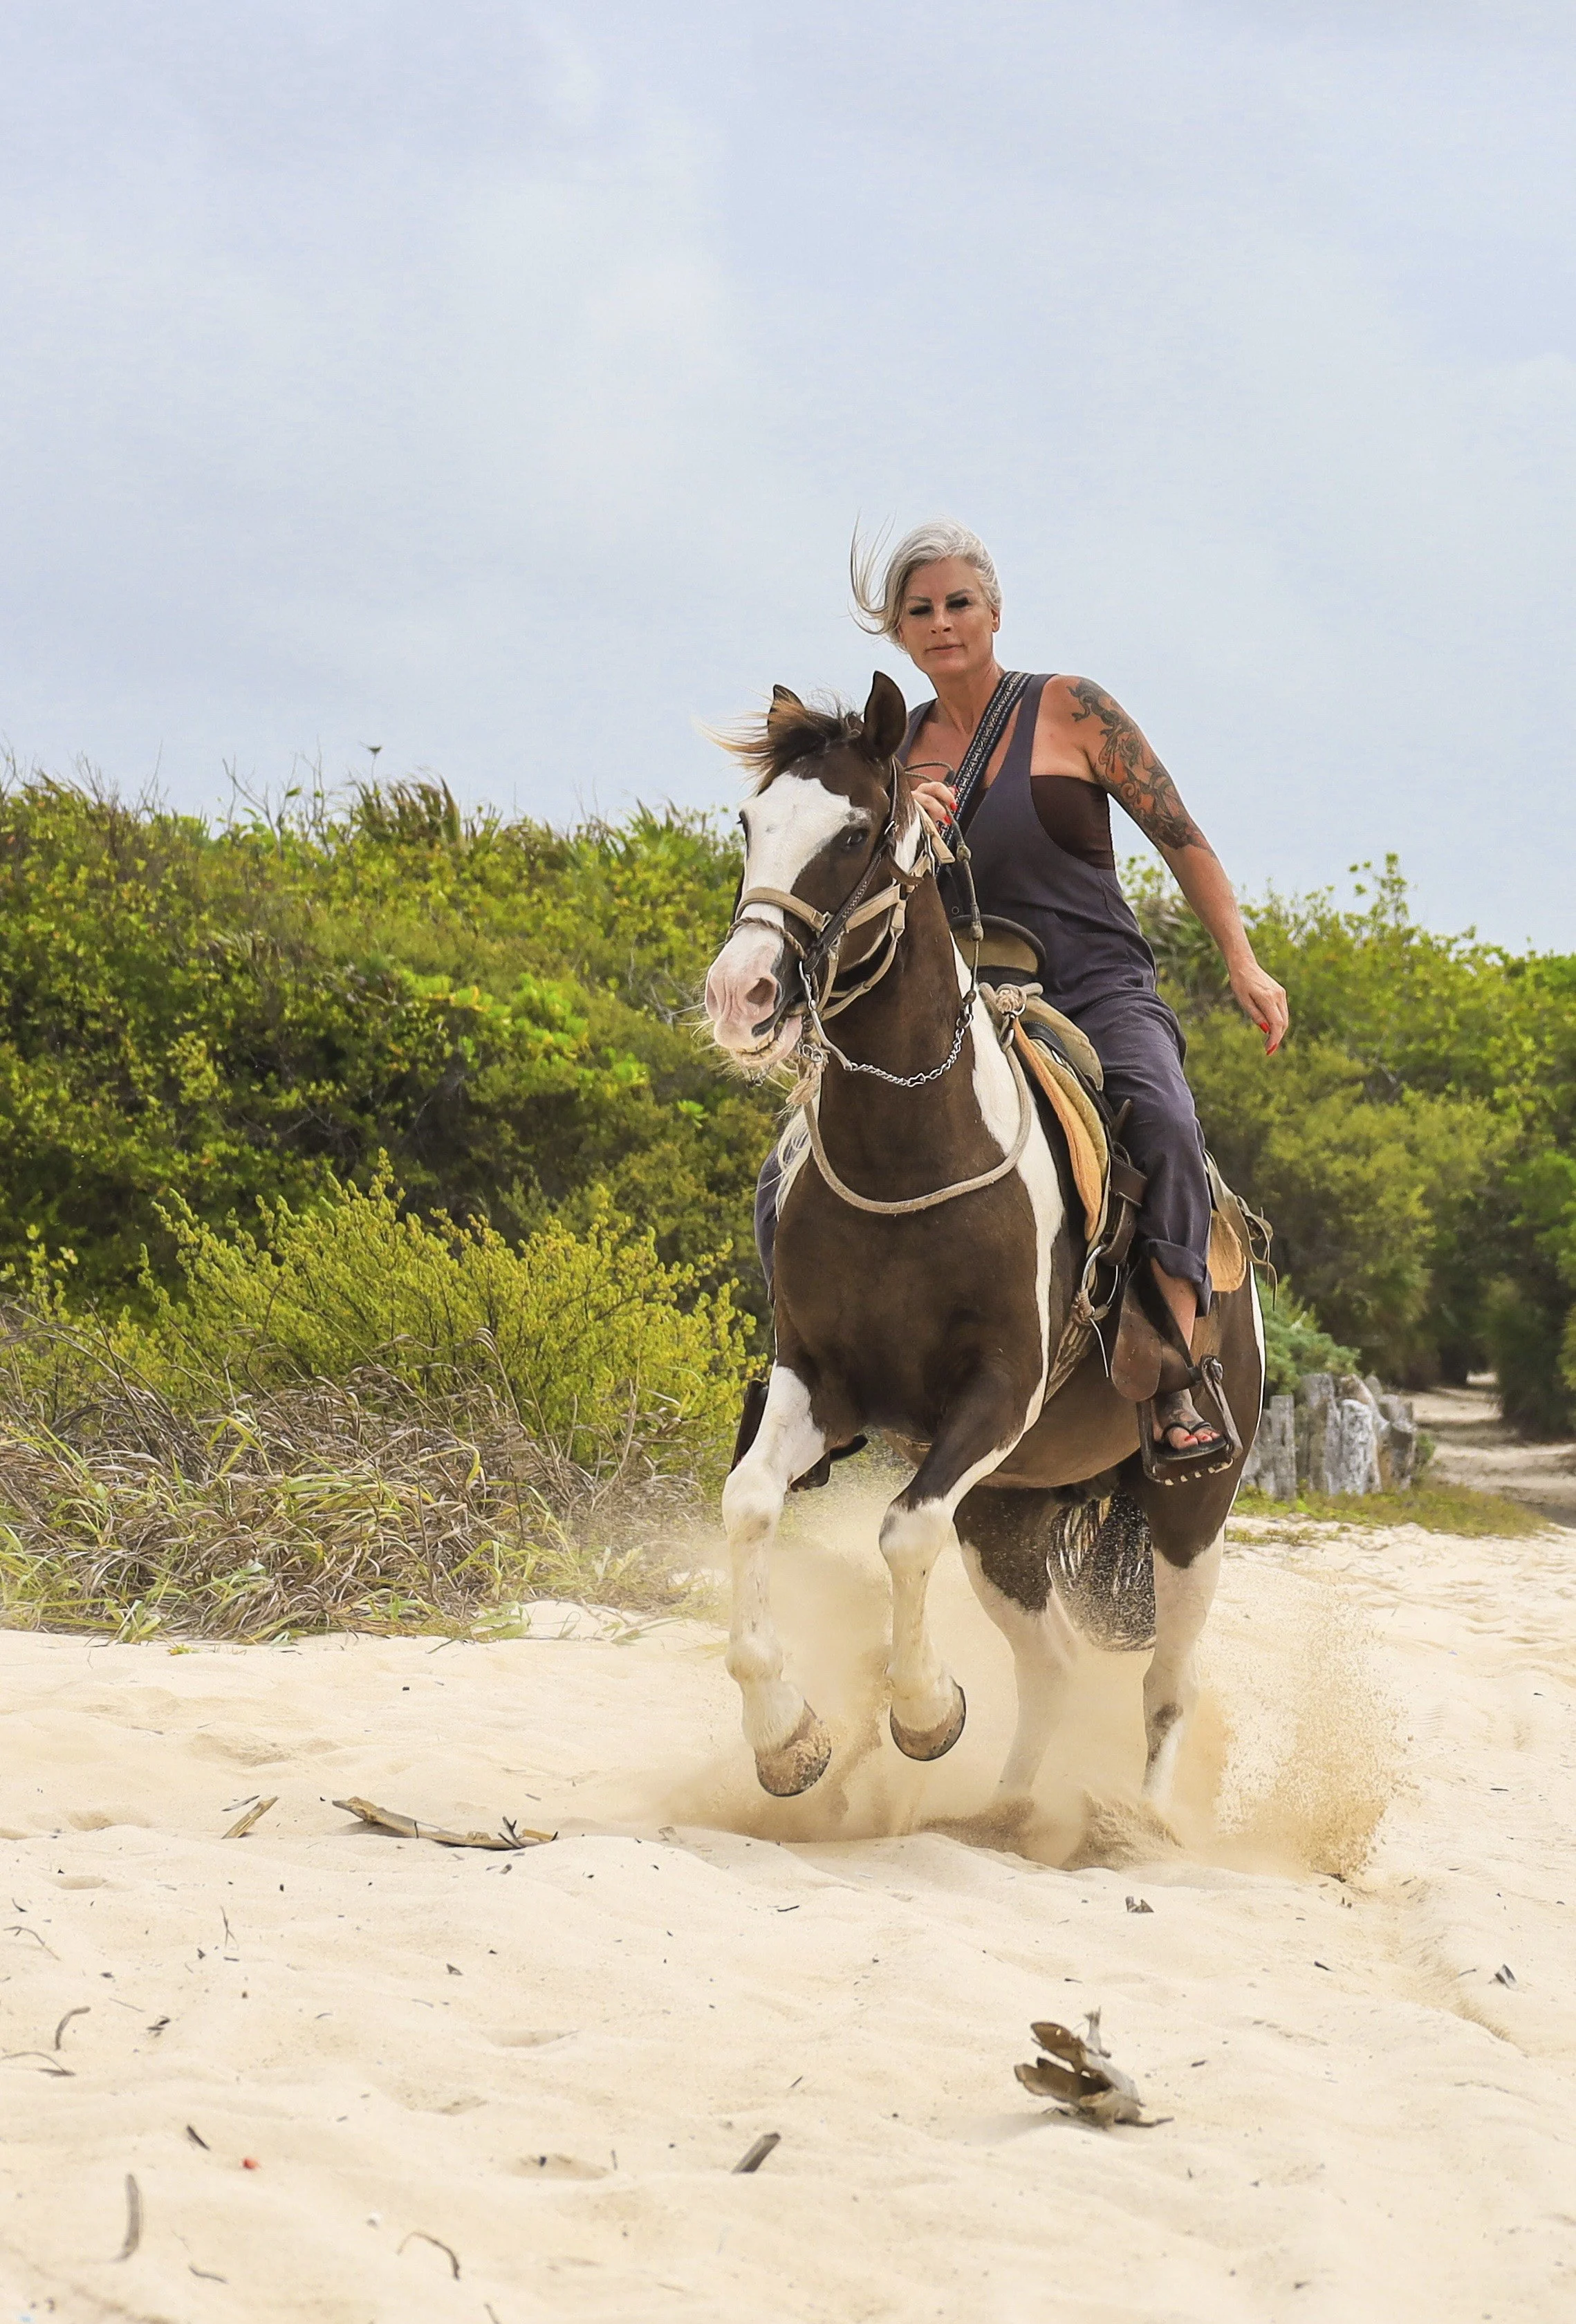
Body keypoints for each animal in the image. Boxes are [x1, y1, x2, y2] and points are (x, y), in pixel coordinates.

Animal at [702, 672, 1264, 1813]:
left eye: (855, 832)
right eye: (747, 822)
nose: (739, 996)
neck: (911, 1152)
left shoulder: (996, 1395)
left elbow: (898, 1530)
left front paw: (923, 1712)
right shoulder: (819, 1382)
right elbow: (749, 1506)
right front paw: (786, 1739)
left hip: (1191, 1507)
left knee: (1166, 1683)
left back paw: (1133, 1827)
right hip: (1009, 1513)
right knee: (1050, 1665)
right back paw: (1005, 1816)